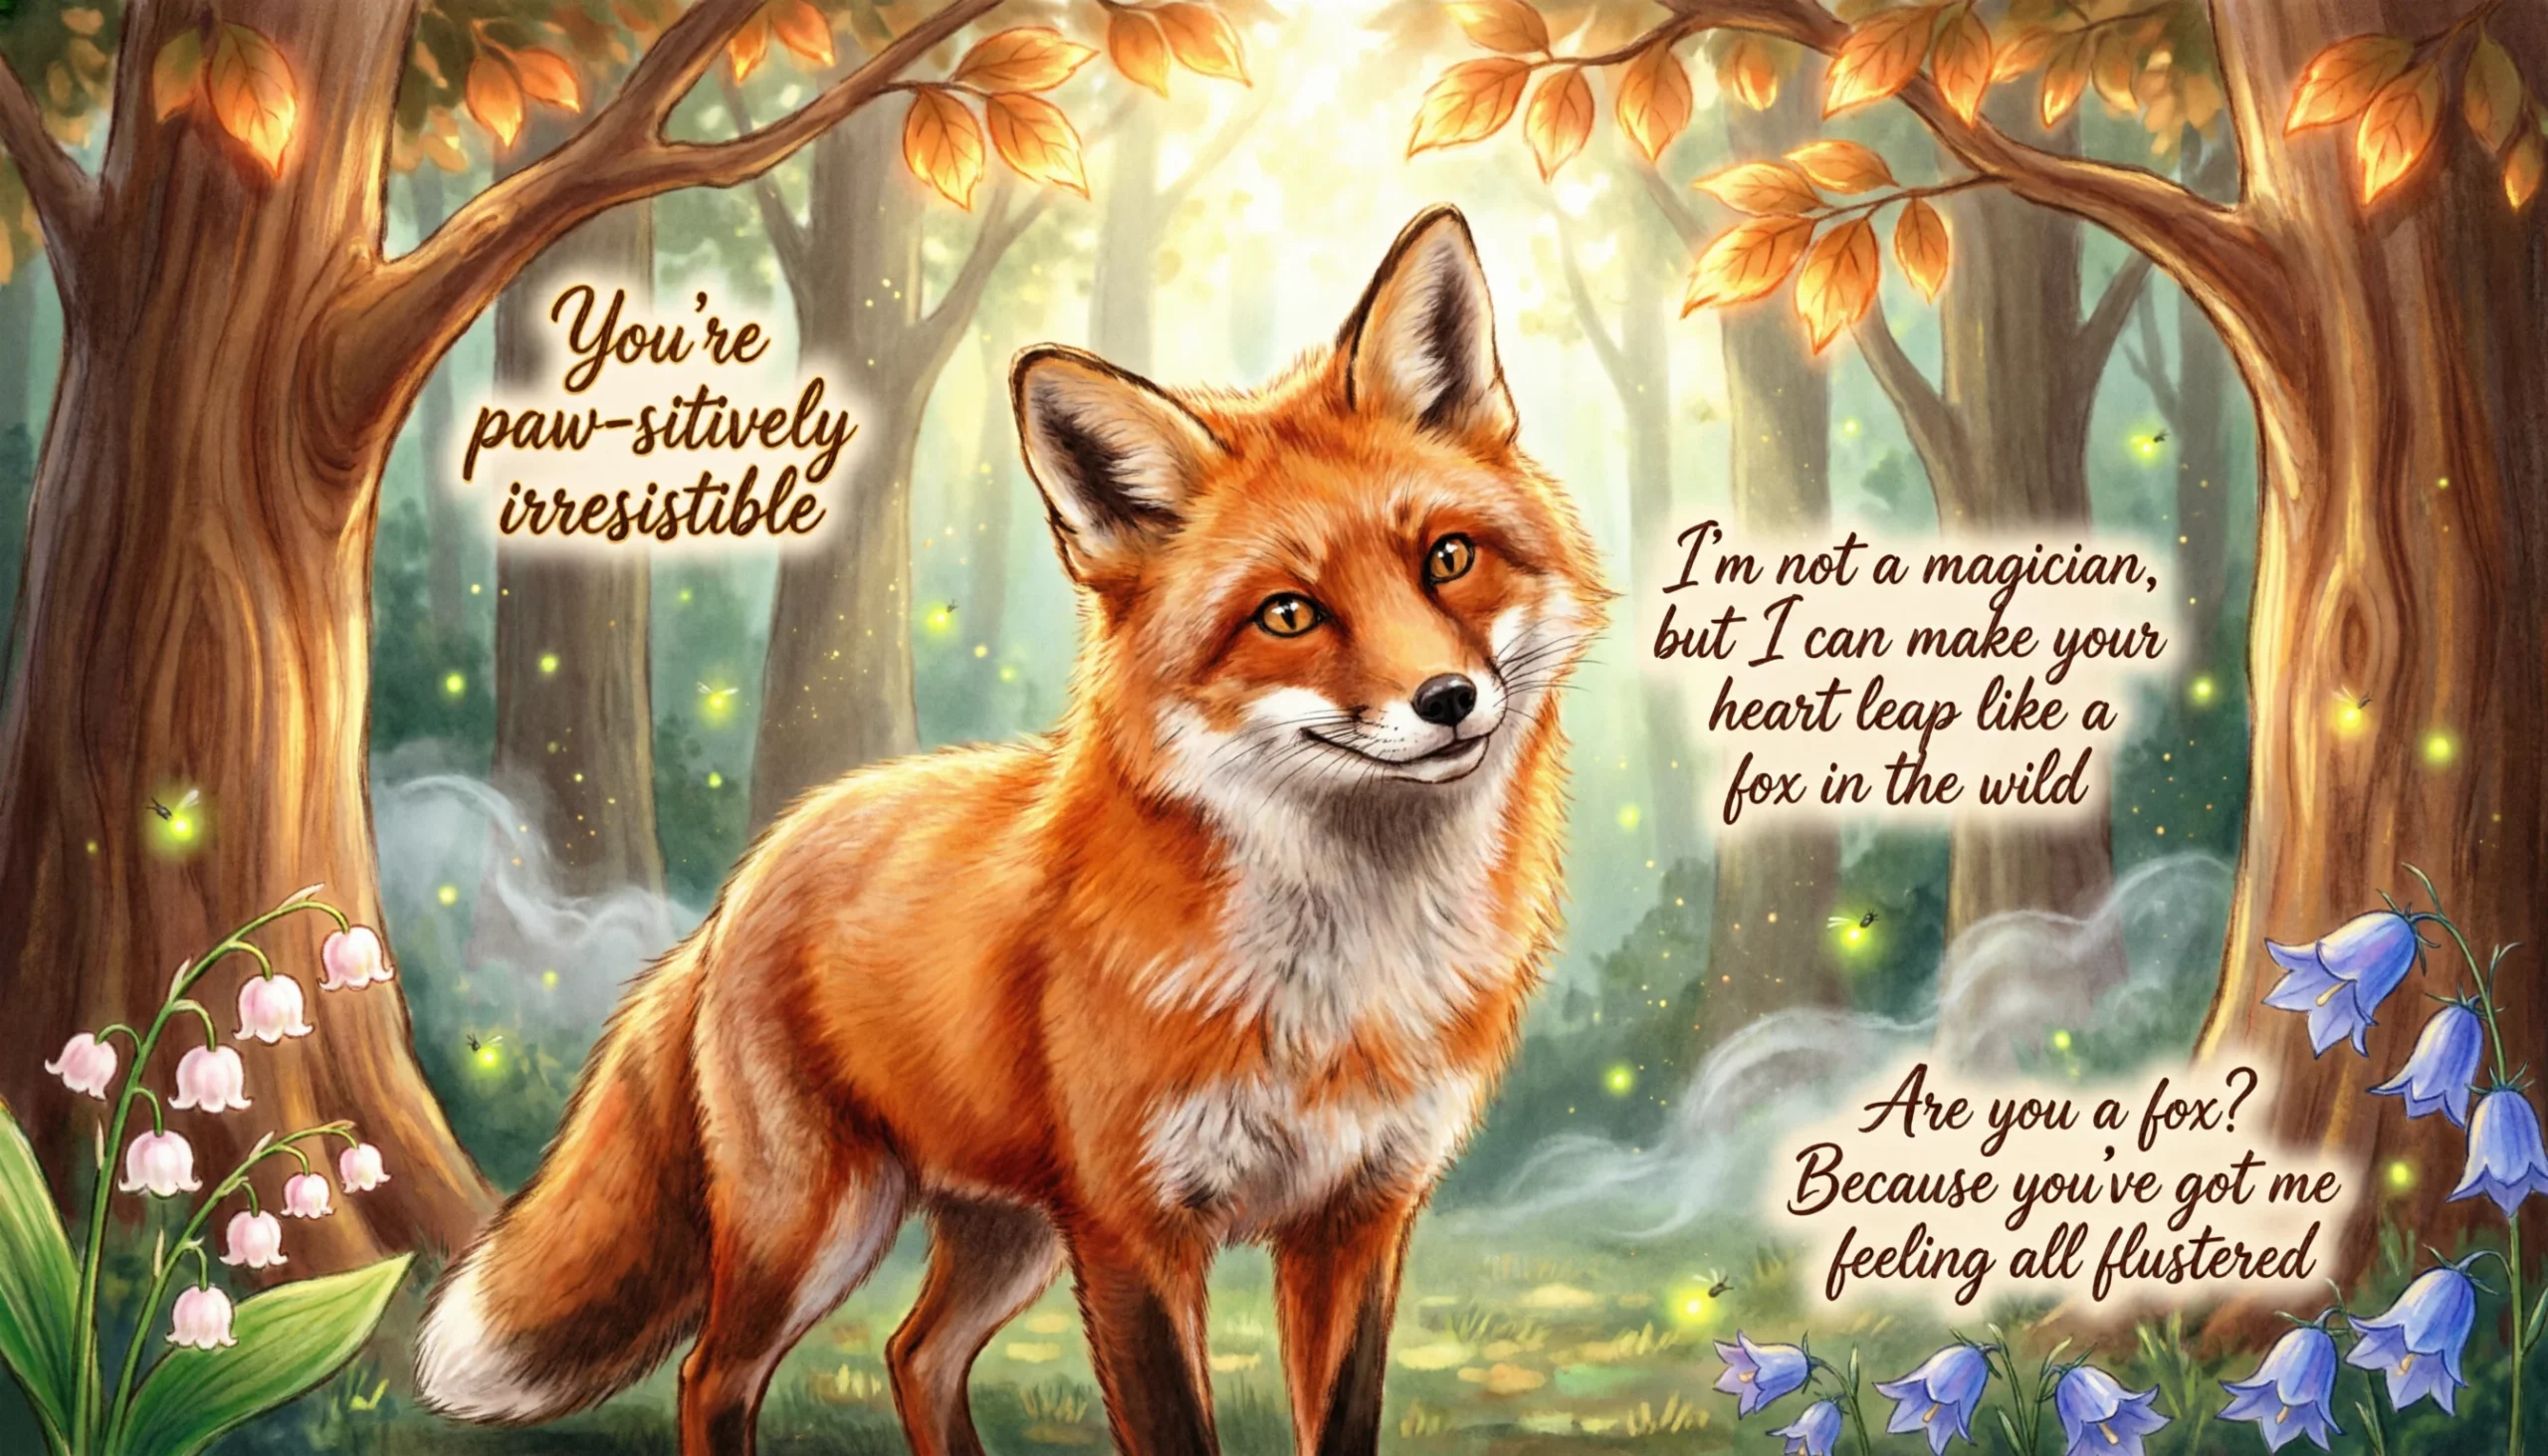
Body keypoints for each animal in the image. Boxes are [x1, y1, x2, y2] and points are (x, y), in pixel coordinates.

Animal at [414, 206, 1608, 1456]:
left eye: (1447, 558)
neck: (1338, 981)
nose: (1447, 699)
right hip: (821, 1224)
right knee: (711, 1371)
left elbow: (1341, 1424)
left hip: (1008, 1232)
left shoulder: (1356, 1217)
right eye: (1288, 613)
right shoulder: (1135, 1231)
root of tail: (759, 864)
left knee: (914, 1351)